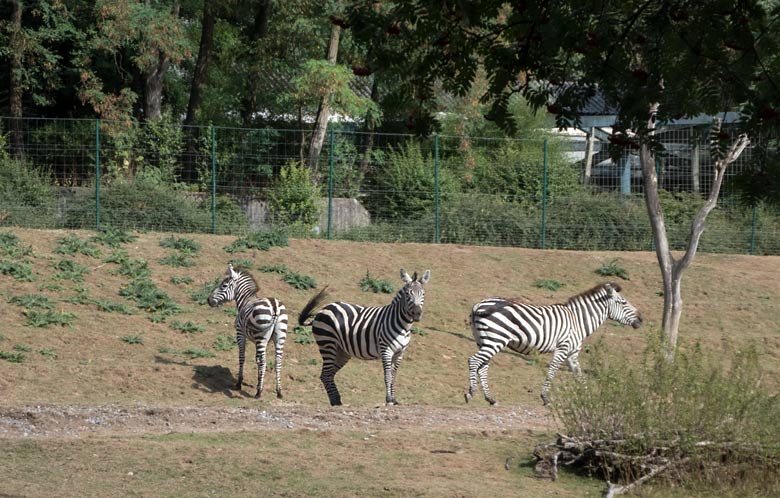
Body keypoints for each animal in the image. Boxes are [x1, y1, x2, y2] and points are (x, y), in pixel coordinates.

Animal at [207, 264, 290, 400]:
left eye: (223, 285)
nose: (208, 300)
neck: (245, 299)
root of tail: (274, 306)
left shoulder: (240, 333)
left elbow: (242, 357)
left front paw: (239, 383)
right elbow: (256, 359)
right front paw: (257, 380)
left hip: (261, 337)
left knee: (263, 362)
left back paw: (259, 392)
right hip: (280, 336)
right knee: (277, 361)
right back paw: (279, 391)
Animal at [298, 268, 432, 404]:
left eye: (423, 294)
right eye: (407, 294)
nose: (417, 314)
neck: (403, 325)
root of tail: (322, 310)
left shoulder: (399, 353)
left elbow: (394, 376)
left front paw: (394, 399)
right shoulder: (386, 350)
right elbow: (388, 376)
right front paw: (389, 399)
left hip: (342, 351)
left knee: (328, 374)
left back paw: (337, 401)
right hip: (327, 343)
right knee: (326, 373)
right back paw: (335, 401)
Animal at [466, 282, 644, 406]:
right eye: (623, 302)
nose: (641, 320)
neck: (577, 321)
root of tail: (478, 304)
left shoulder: (572, 354)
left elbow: (580, 375)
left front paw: (589, 399)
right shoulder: (562, 348)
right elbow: (552, 371)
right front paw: (545, 397)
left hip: (485, 341)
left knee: (483, 367)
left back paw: (490, 399)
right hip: (495, 340)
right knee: (473, 361)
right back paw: (471, 393)